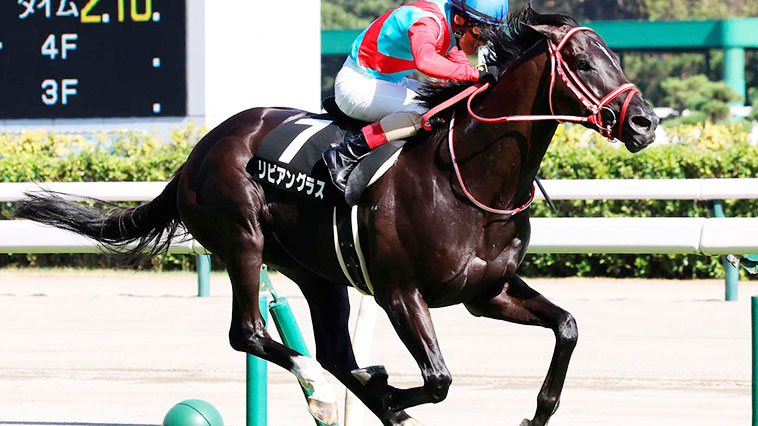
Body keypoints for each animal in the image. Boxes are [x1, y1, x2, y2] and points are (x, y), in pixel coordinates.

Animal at [14, 6, 658, 426]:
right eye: (581, 60)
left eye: (614, 56)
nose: (645, 122)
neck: (467, 177)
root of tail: (198, 151)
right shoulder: (400, 291)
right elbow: (438, 378)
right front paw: (391, 393)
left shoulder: (487, 290)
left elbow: (567, 327)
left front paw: (535, 413)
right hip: (242, 239)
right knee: (252, 333)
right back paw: (324, 395)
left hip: (318, 273)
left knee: (334, 352)